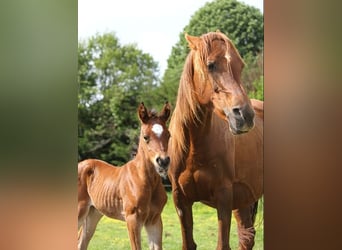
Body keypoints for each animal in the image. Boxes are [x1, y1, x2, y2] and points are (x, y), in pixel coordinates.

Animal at [79, 102, 172, 250]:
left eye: (168, 135)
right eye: (145, 137)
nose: (163, 161)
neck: (147, 181)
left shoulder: (155, 220)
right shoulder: (132, 219)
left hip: (93, 214)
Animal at [168, 31, 264, 250]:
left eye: (240, 65)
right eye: (210, 65)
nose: (245, 115)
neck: (194, 149)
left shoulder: (224, 197)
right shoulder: (180, 201)